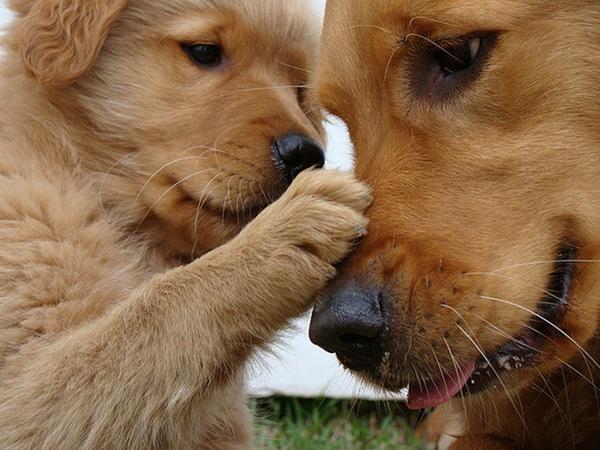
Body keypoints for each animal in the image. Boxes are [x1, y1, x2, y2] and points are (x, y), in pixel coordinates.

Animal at [0, 0, 370, 450]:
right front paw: (283, 233)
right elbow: (156, 310)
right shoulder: (19, 393)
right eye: (204, 51)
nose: (306, 155)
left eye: (300, 88)